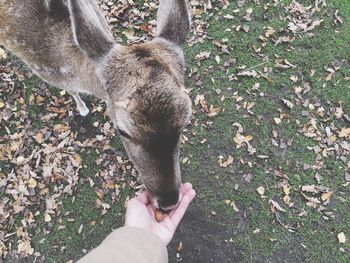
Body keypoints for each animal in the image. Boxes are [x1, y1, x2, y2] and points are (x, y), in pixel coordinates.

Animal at [0, 0, 191, 212]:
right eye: (122, 131)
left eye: (184, 122)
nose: (168, 201)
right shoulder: (49, 75)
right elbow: (72, 92)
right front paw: (83, 109)